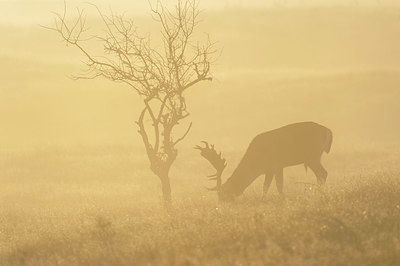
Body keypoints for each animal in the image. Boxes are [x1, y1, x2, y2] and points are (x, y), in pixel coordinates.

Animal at [195, 121, 332, 202]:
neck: (256, 163)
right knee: (321, 174)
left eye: (223, 193)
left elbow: (272, 186)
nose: (221, 204)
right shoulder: (274, 168)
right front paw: (276, 199)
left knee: (323, 173)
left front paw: (272, 199)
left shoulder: (274, 166)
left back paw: (319, 194)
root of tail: (328, 132)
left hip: (312, 156)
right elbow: (272, 186)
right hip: (313, 157)